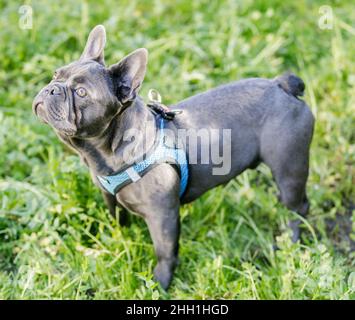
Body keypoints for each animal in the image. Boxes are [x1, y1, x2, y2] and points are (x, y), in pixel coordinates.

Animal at [32, 25, 314, 290]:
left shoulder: (163, 215)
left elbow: (165, 252)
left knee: (298, 208)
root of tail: (281, 85)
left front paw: (160, 283)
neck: (108, 151)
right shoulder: (109, 196)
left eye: (81, 93)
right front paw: (120, 239)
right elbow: (118, 219)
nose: (52, 89)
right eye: (55, 74)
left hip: (289, 169)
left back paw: (291, 242)